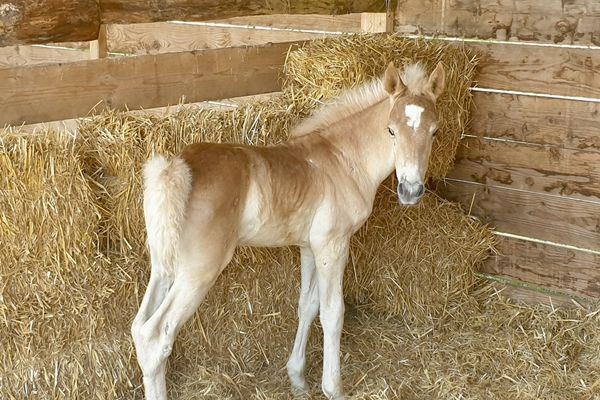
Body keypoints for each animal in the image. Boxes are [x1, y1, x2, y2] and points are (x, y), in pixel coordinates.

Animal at [134, 61, 448, 398]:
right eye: (391, 130)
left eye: (435, 131)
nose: (411, 191)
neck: (344, 160)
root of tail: (175, 167)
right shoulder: (333, 245)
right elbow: (332, 312)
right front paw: (333, 388)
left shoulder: (310, 246)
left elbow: (307, 305)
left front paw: (297, 378)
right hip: (199, 269)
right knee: (155, 336)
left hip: (165, 264)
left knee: (139, 328)